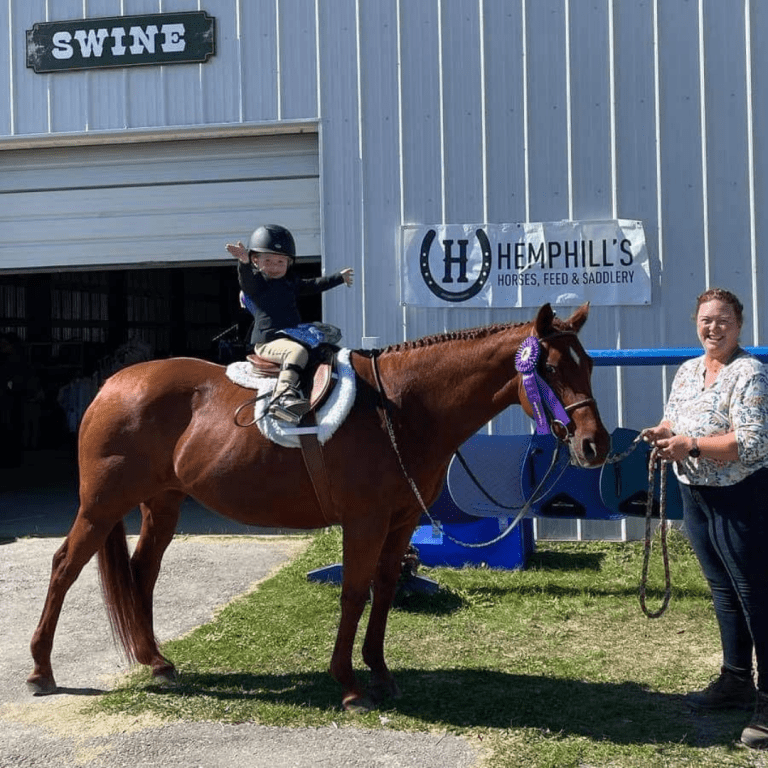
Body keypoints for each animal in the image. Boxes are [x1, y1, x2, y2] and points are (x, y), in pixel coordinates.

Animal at [27, 302, 610, 711]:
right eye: (549, 368)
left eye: (588, 366)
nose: (594, 445)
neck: (402, 406)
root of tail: (113, 384)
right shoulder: (365, 521)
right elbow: (353, 593)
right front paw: (349, 685)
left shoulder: (400, 522)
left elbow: (384, 589)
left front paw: (380, 672)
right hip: (102, 505)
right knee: (64, 567)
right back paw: (40, 671)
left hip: (161, 505)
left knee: (142, 573)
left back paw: (157, 663)